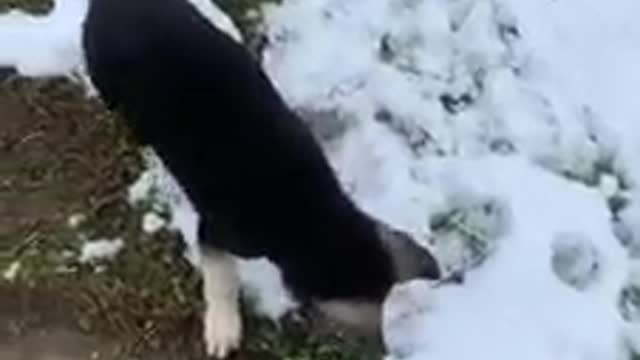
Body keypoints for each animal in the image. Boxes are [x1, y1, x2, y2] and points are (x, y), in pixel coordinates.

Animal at [80, 0, 440, 356]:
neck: (309, 213)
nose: (385, 348)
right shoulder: (216, 232)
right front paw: (223, 331)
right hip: (105, 74)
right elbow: (221, 282)